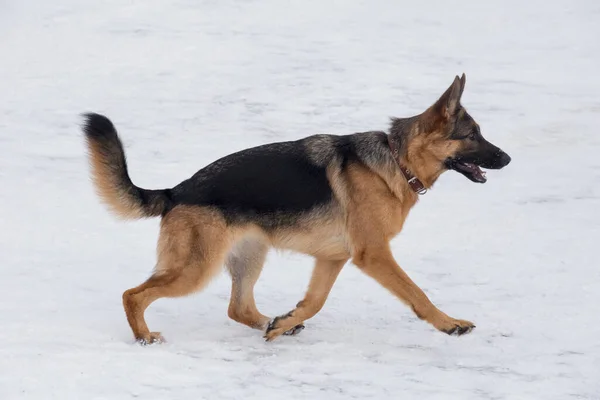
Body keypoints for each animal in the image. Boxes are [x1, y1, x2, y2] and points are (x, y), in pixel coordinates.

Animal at [81, 74, 510, 344]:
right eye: (473, 135)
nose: (507, 158)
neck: (396, 159)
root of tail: (177, 191)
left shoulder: (334, 258)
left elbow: (315, 301)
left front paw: (284, 323)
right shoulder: (374, 255)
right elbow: (416, 293)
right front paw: (449, 324)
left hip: (250, 256)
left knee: (238, 307)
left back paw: (273, 323)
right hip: (194, 269)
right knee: (133, 295)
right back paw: (144, 337)